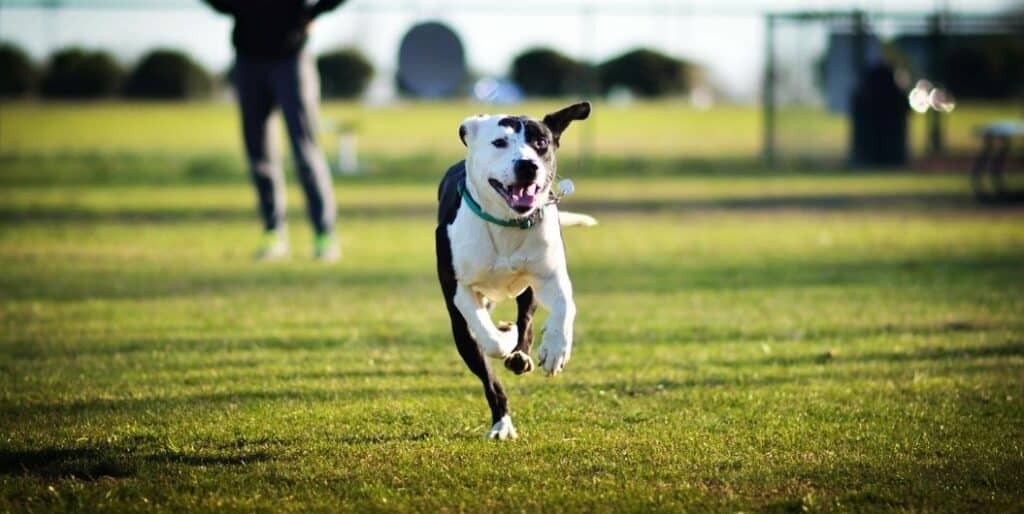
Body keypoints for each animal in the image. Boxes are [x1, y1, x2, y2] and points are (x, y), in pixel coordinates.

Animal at [436, 102, 598, 440]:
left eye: (541, 143)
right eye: (499, 142)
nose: (527, 165)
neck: (506, 223)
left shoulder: (549, 276)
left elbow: (565, 306)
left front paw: (555, 350)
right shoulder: (459, 290)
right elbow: (488, 338)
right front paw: (502, 336)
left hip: (528, 290)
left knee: (527, 321)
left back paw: (522, 352)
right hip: (462, 328)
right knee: (487, 370)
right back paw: (502, 422)